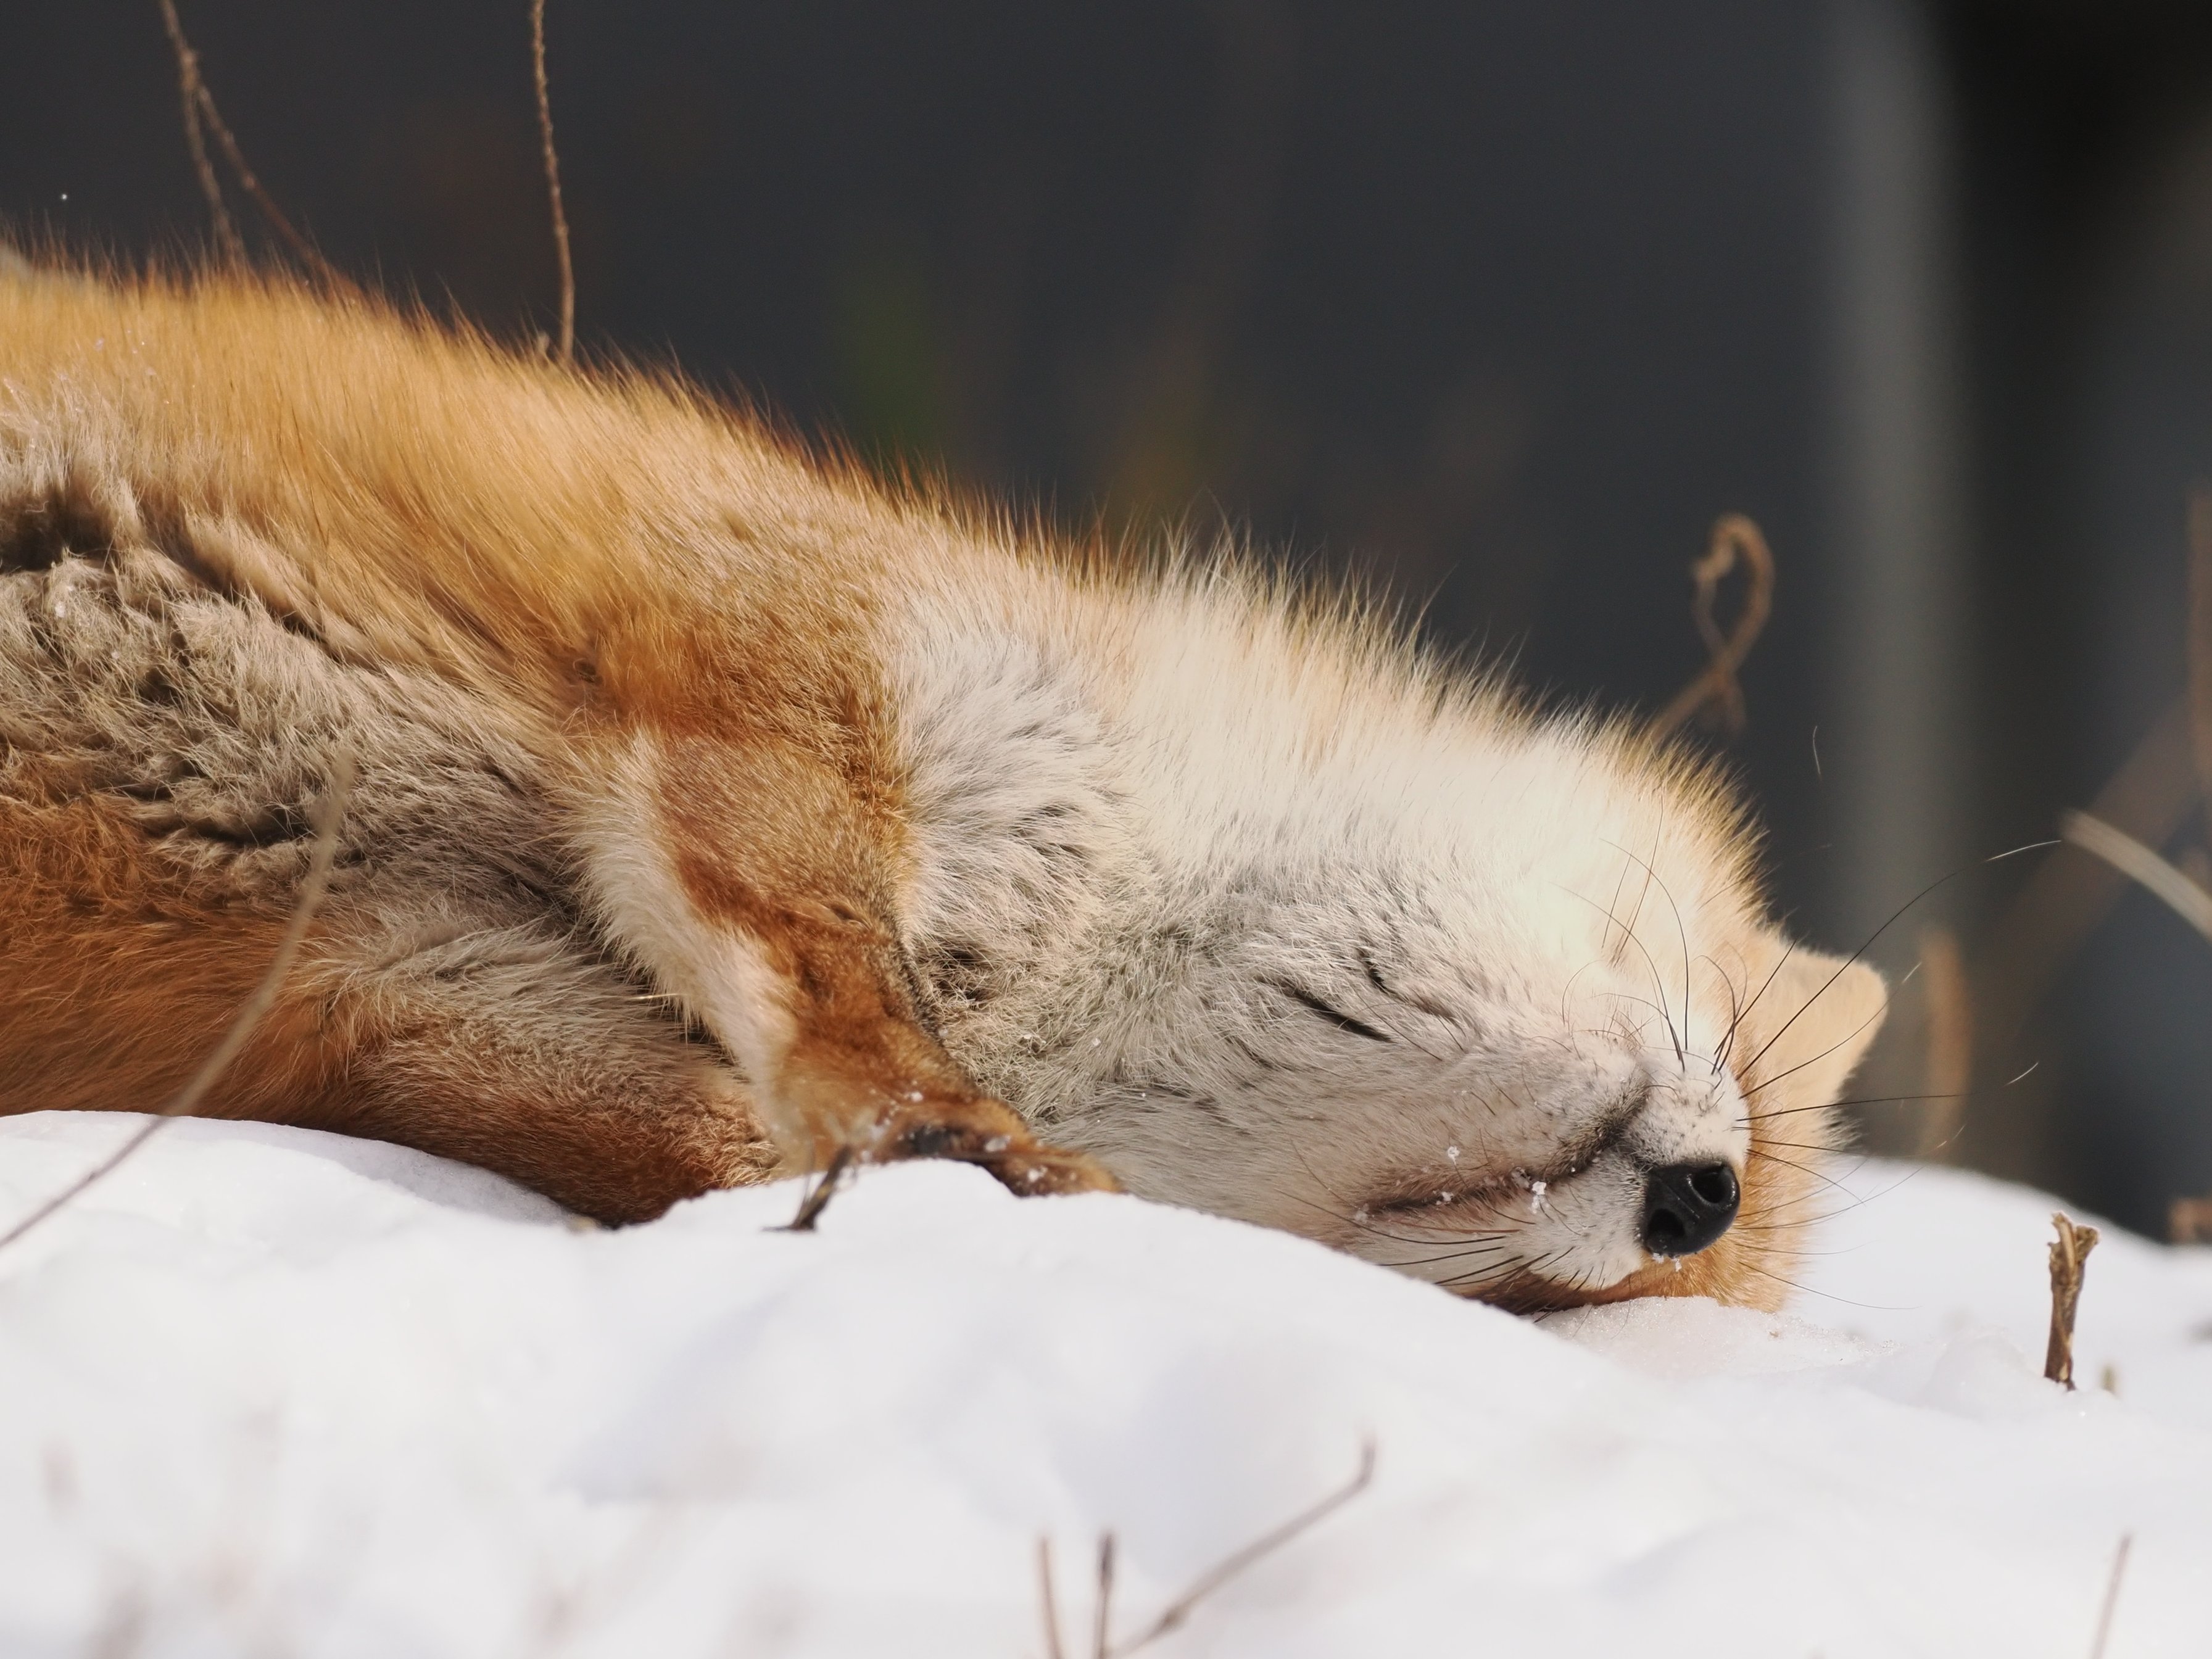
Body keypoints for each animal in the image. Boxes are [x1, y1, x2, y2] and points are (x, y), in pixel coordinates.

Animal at [0, 263, 1883, 1312]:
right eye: (1727, 1048)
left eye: (1532, 1315)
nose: (1697, 1200)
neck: (1053, 959)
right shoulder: (768, 650)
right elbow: (818, 939)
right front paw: (943, 1118)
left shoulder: (401, 986)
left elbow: (704, 1137)